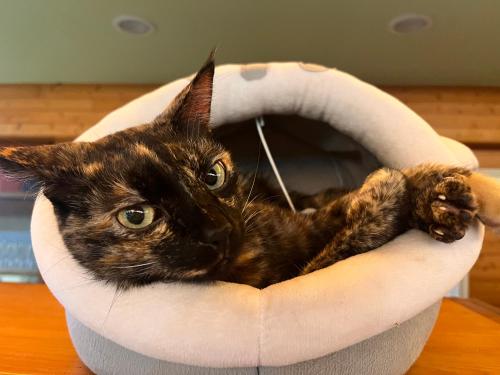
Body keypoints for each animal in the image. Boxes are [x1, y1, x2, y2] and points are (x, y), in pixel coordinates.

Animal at [2, 56, 500, 290]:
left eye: (212, 176)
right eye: (137, 216)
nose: (218, 230)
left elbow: (344, 204)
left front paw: (439, 195)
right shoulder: (296, 272)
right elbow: (349, 230)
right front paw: (393, 189)